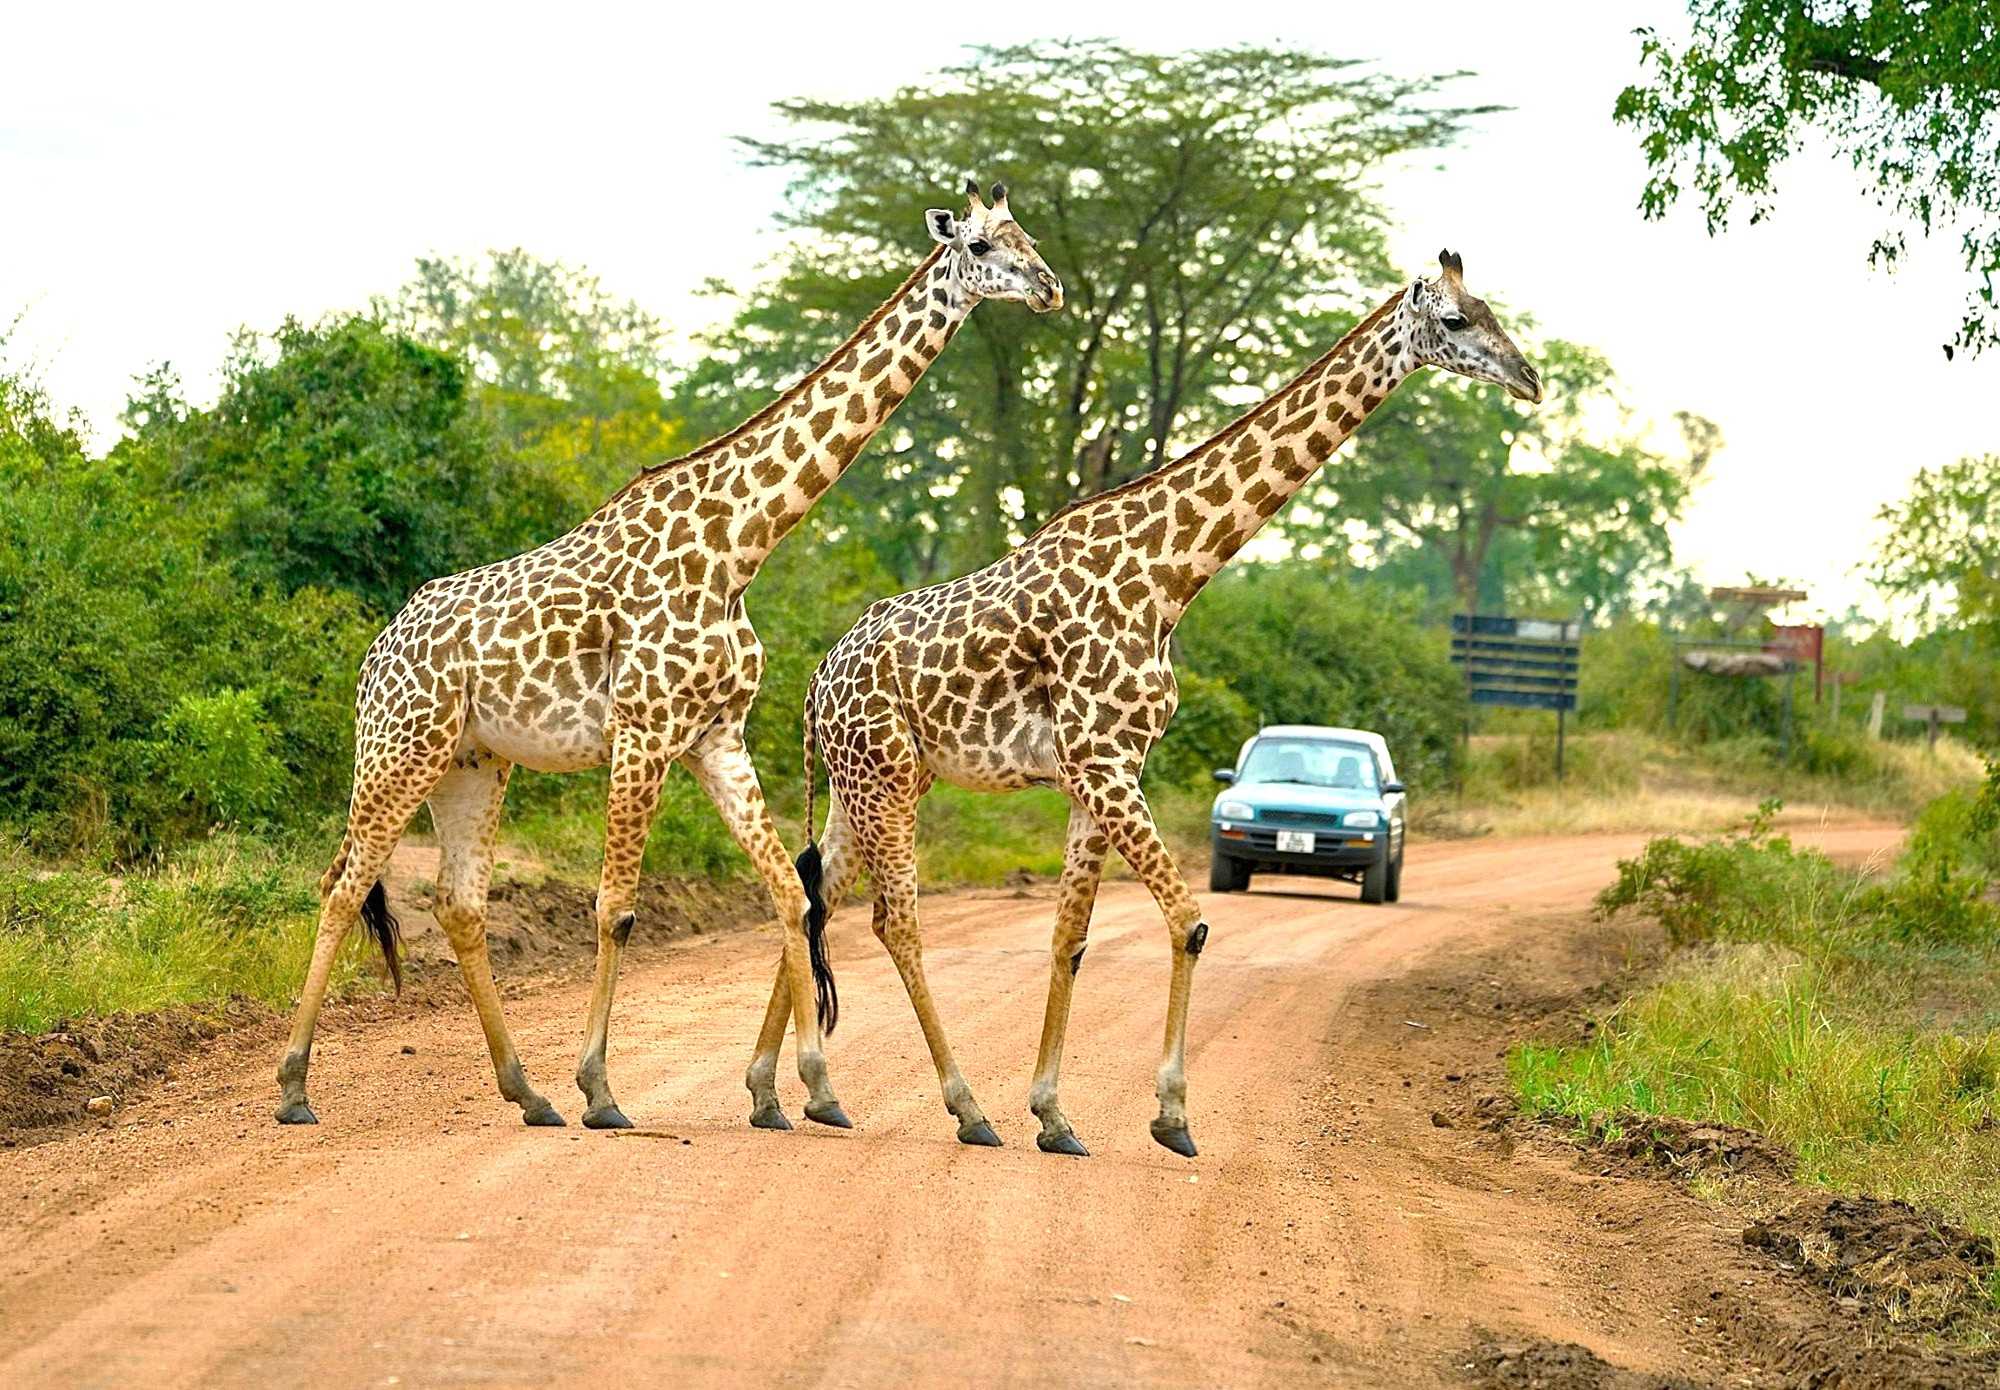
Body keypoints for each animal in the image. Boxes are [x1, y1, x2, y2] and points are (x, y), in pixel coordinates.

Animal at [274, 180, 1063, 1130]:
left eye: (1028, 234)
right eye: (982, 245)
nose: (1051, 288)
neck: (740, 544)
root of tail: (372, 655)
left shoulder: (714, 735)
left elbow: (788, 893)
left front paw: (809, 1092)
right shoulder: (642, 730)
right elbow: (615, 907)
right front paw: (601, 1090)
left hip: (474, 761)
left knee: (457, 904)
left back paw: (527, 1093)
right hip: (401, 747)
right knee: (341, 884)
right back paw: (295, 1089)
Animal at [755, 251, 1539, 1156]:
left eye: (1492, 310)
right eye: (1455, 321)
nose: (1530, 379)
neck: (1171, 576)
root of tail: (819, 678)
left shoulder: (1104, 773)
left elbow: (1071, 938)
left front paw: (1055, 1116)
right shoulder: (1103, 764)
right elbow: (1190, 920)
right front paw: (1171, 1116)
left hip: (873, 779)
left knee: (815, 895)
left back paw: (788, 1093)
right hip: (881, 778)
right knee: (894, 922)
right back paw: (965, 1108)